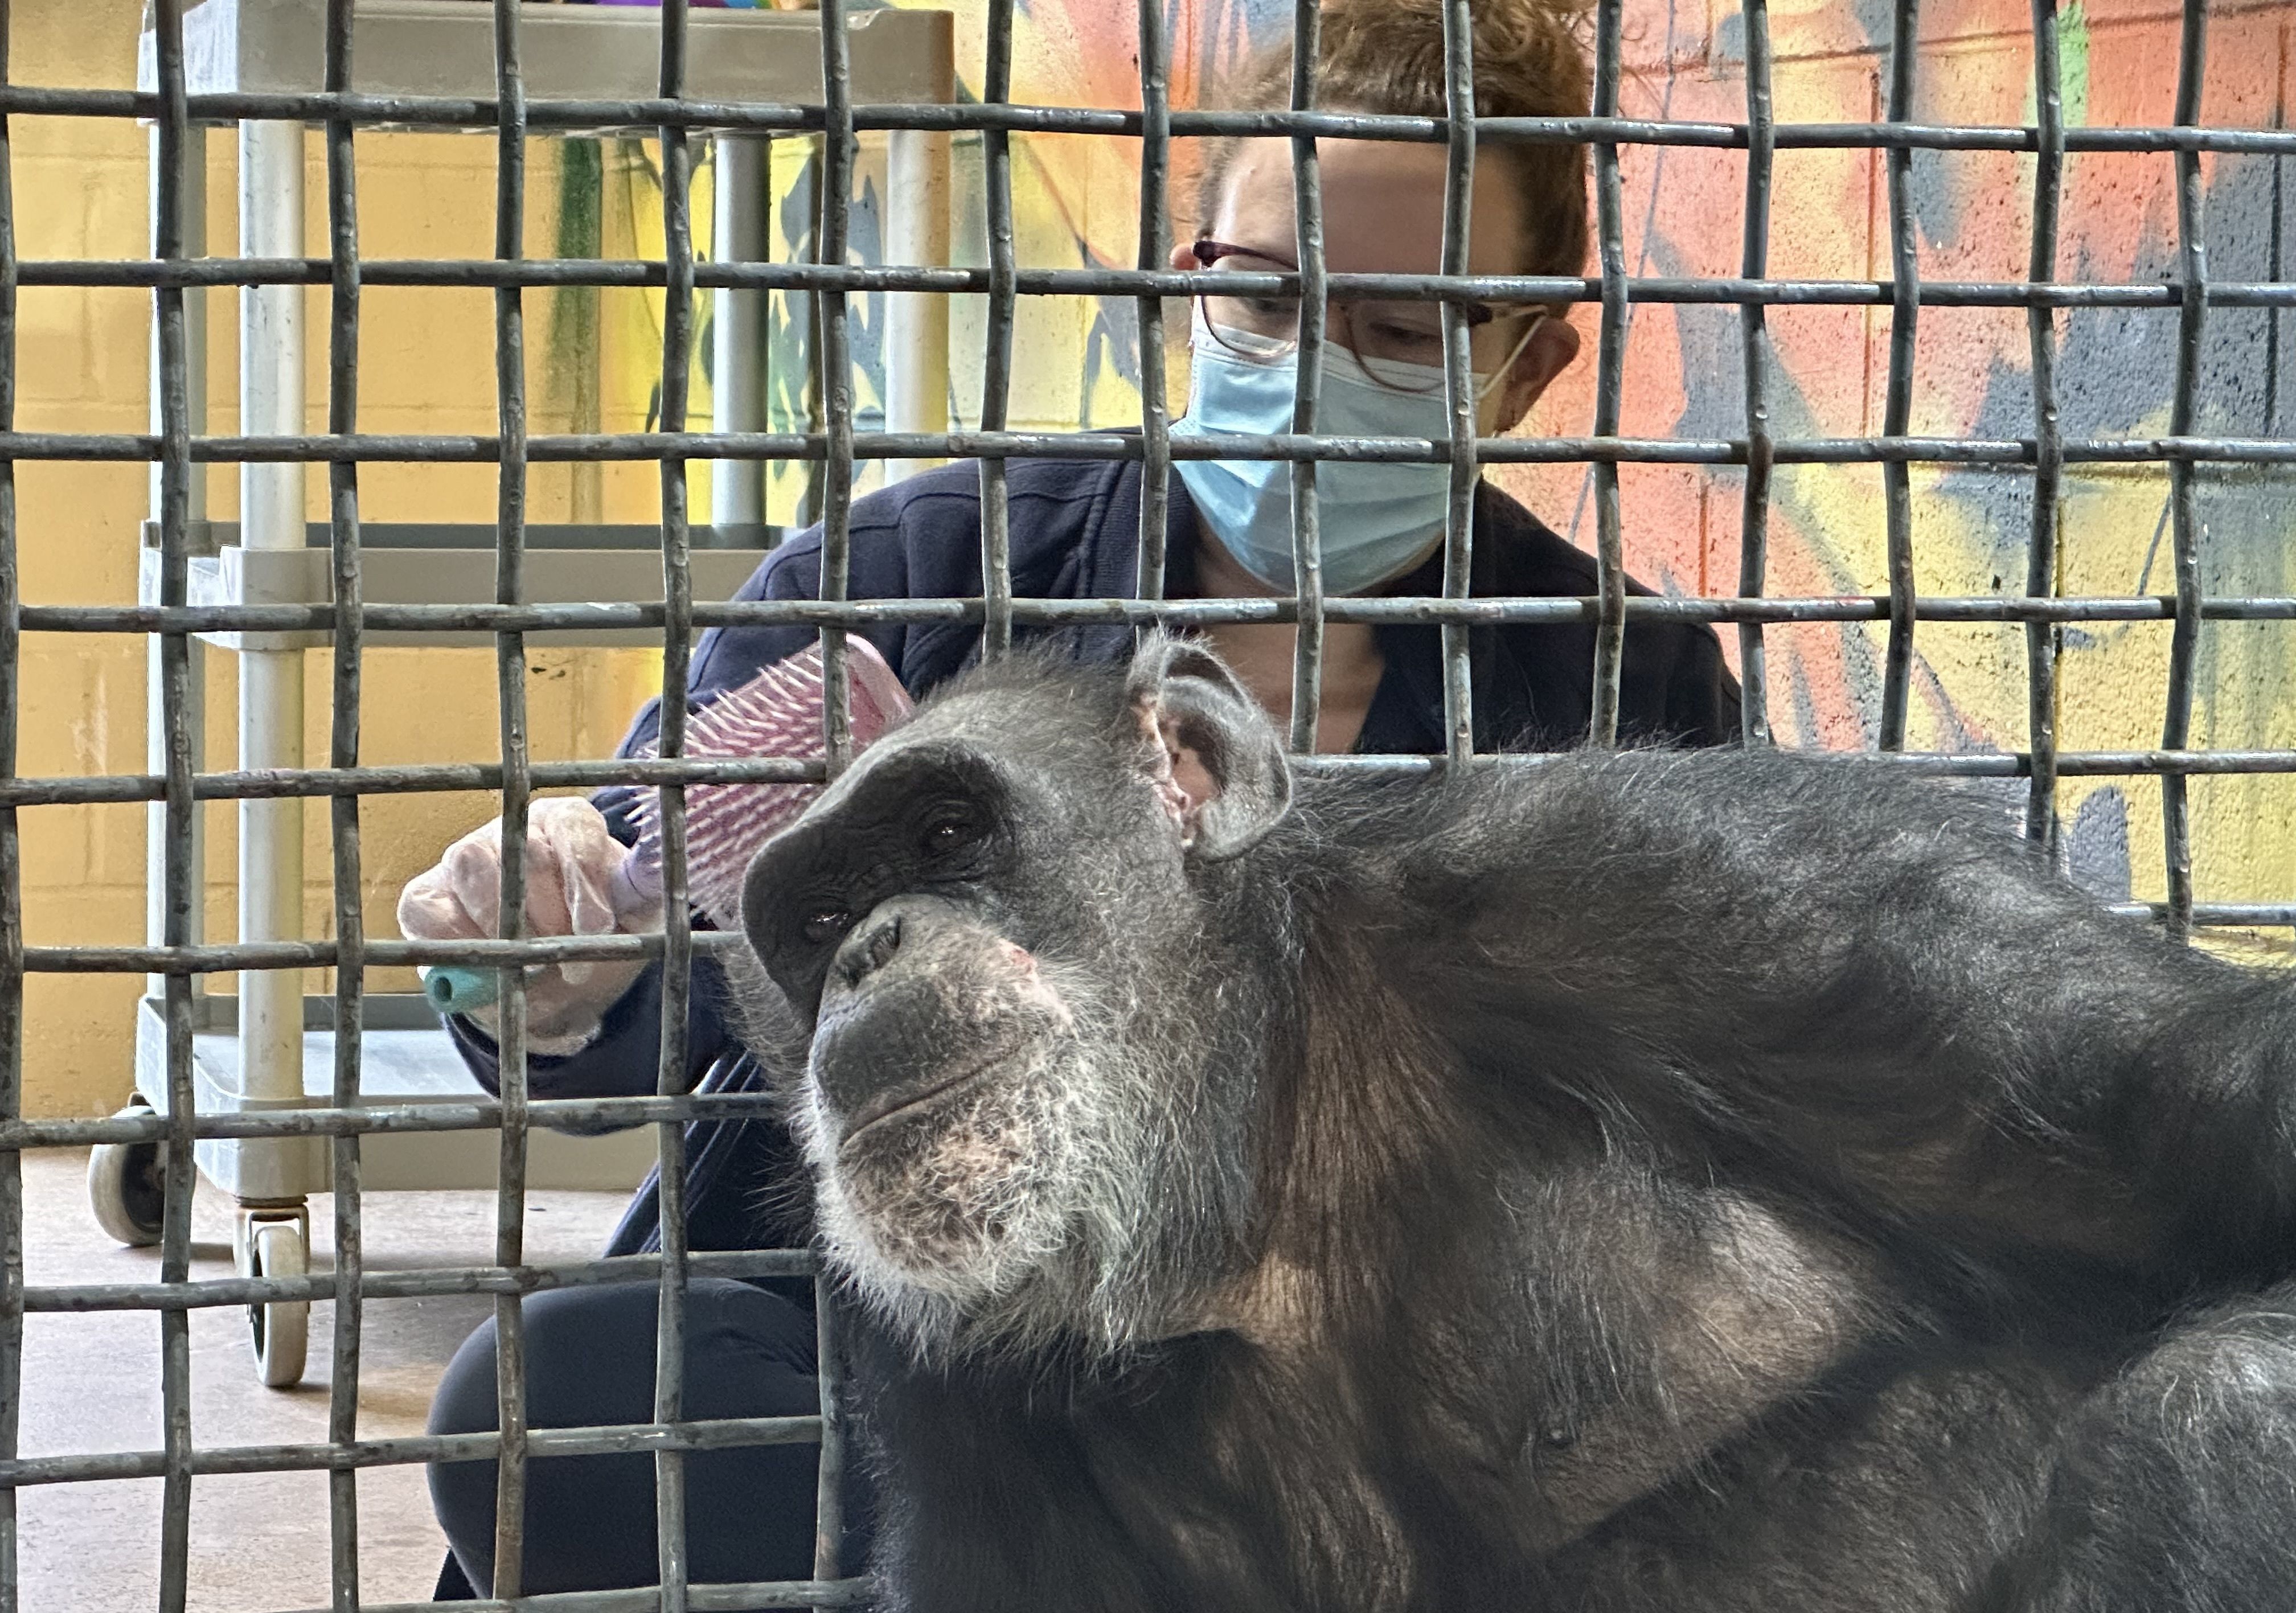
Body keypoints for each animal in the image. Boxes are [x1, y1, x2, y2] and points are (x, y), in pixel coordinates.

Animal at [730, 638, 2296, 1613]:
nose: (865, 948)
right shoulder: (939, 1387)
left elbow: (2200, 1114)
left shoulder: (1725, 891)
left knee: (2219, 1398)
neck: (1249, 1157)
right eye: (810, 919)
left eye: (947, 834)